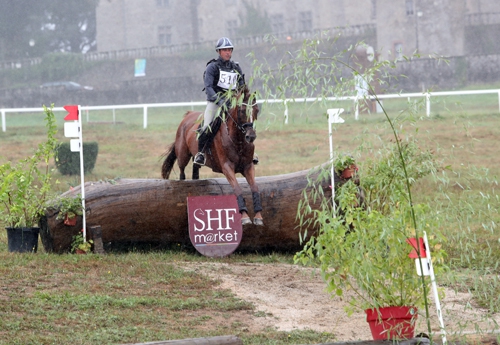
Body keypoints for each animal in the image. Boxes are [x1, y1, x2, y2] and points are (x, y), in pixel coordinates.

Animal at [161, 85, 264, 226]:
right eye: (242, 111)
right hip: (183, 155)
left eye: (257, 110)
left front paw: (258, 216)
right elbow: (237, 188)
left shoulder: (248, 166)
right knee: (182, 171)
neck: (238, 140)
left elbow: (255, 187)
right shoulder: (227, 167)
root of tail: (188, 115)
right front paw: (244, 216)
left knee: (195, 169)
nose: (251, 136)